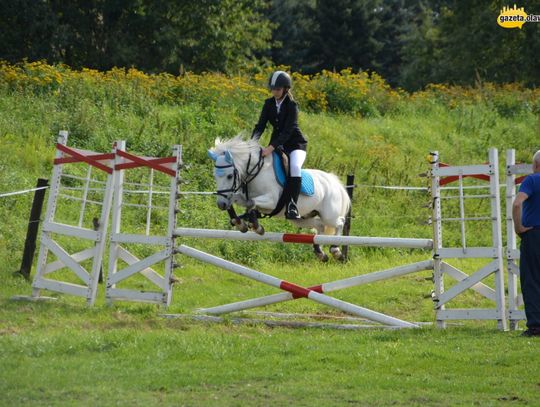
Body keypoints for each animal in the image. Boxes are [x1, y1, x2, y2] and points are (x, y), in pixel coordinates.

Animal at [207, 135, 350, 260]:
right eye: (215, 176)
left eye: (229, 176)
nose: (220, 204)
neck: (255, 173)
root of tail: (334, 181)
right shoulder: (241, 197)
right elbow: (238, 201)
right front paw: (240, 222)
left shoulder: (272, 201)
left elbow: (251, 203)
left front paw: (256, 226)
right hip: (302, 218)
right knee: (320, 226)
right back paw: (320, 252)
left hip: (329, 215)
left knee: (340, 222)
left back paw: (336, 250)